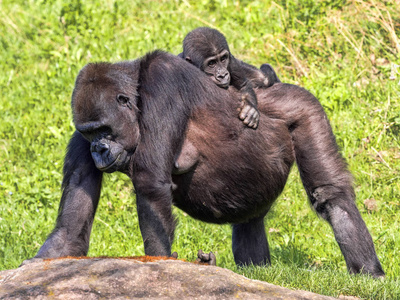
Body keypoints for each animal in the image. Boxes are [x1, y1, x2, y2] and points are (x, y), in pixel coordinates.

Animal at [33, 51, 384, 276]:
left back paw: (368, 271)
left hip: (300, 104)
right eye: (90, 133)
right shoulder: (78, 138)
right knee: (250, 219)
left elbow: (149, 186)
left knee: (330, 194)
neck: (137, 88)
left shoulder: (162, 81)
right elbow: (70, 229)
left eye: (104, 130)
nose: (98, 150)